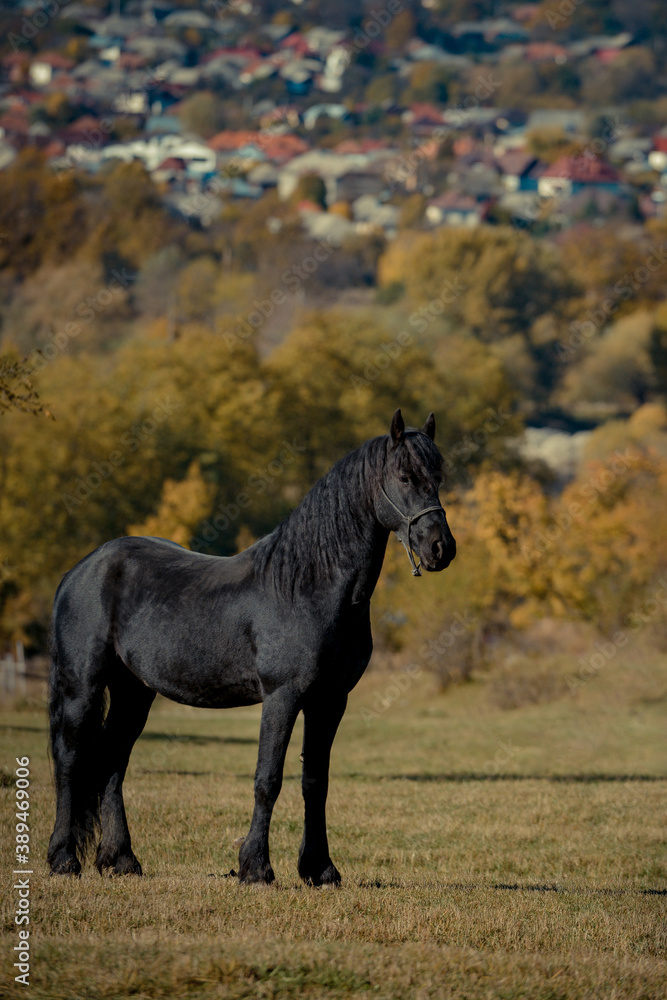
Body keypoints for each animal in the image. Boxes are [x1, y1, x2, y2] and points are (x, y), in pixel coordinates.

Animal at [47, 408, 456, 886]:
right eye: (405, 477)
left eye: (438, 477)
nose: (441, 548)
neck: (308, 584)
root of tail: (81, 569)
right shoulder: (282, 696)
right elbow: (269, 779)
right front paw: (256, 867)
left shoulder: (330, 700)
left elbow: (315, 782)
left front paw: (320, 869)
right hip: (83, 687)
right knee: (70, 760)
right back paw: (64, 859)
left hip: (134, 692)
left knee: (112, 762)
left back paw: (122, 860)